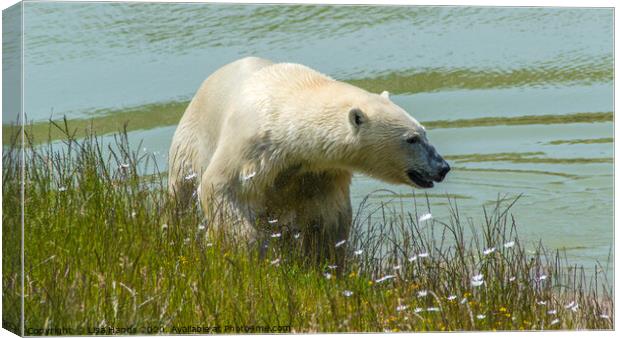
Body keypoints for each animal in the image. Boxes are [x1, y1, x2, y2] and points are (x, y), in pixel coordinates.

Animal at [168, 56, 450, 264]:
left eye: (424, 132)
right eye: (412, 139)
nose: (442, 167)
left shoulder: (320, 171)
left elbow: (328, 217)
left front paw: (323, 258)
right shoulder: (250, 148)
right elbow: (222, 189)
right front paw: (252, 251)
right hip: (191, 140)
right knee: (181, 190)